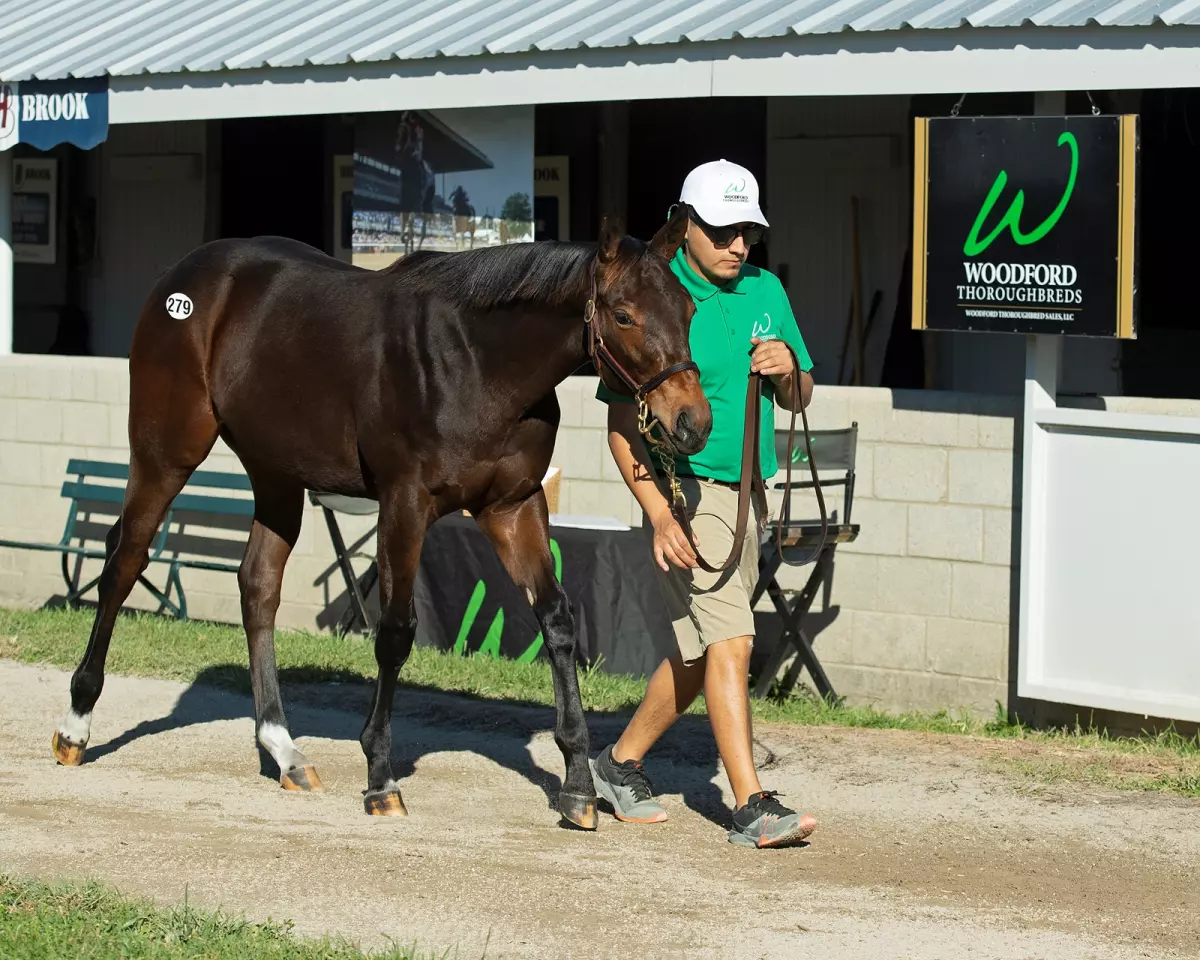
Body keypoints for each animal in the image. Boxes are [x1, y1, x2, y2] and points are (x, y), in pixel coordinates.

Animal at [49, 206, 710, 830]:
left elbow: (557, 621)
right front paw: (380, 778)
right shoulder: (405, 505)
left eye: (688, 309)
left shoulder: (512, 506)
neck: (476, 361)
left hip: (276, 474)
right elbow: (394, 631)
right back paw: (77, 725)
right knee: (125, 561)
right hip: (165, 451)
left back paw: (283, 750)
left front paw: (576, 787)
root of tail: (183, 278)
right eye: (623, 315)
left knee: (258, 587)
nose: (692, 424)